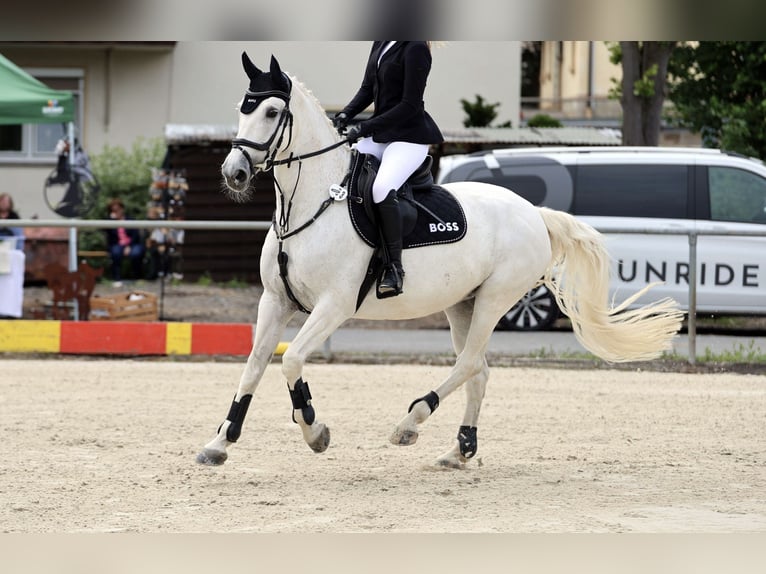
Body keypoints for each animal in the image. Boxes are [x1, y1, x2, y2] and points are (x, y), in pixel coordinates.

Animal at [198, 51, 684, 470]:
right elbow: (254, 365)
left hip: (495, 299)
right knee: (479, 370)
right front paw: (220, 442)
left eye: (271, 112)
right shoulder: (275, 300)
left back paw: (409, 424)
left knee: (468, 364)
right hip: (462, 304)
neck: (311, 202)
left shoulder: (334, 305)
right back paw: (459, 449)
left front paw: (315, 430)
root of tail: (534, 213)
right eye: (242, 108)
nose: (233, 173)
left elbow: (291, 360)